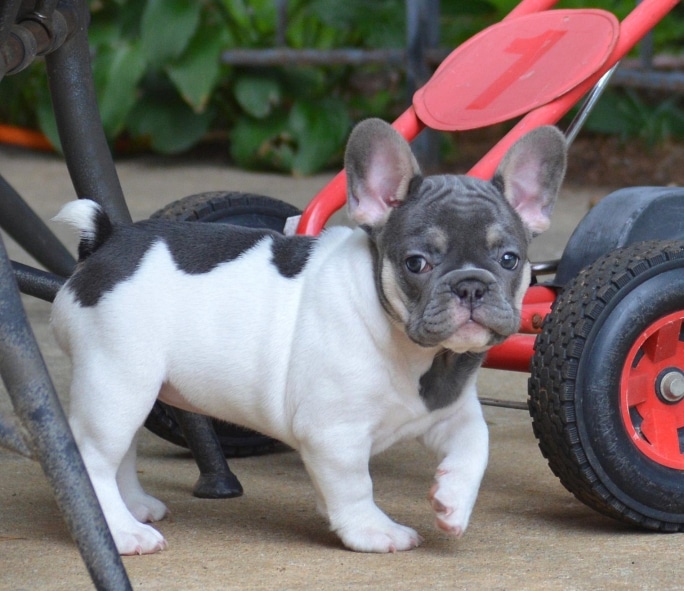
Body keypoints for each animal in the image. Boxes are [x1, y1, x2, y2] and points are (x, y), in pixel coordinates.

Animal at [52, 119, 568, 556]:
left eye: (509, 259)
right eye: (417, 263)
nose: (471, 285)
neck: (420, 352)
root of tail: (105, 244)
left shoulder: (447, 410)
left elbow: (476, 443)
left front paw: (452, 502)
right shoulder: (334, 435)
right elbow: (354, 485)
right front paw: (372, 530)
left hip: (133, 389)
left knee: (121, 452)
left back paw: (135, 507)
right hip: (119, 381)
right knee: (94, 459)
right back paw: (122, 533)